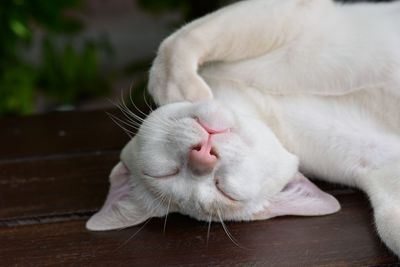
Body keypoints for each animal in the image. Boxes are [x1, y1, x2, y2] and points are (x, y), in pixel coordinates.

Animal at [86, 1, 400, 258]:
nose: (203, 155)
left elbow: (178, 42)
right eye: (222, 189)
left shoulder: (291, 11)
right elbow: (388, 224)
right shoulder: (379, 165)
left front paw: (185, 93)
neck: (270, 109)